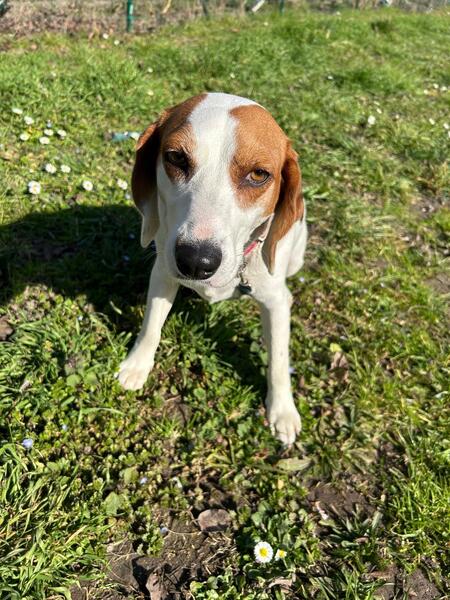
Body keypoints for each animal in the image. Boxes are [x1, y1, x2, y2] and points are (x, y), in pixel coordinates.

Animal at [117, 93, 307, 444]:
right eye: (176, 157)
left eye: (258, 174)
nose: (195, 260)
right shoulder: (163, 273)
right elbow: (151, 326)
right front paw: (138, 365)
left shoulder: (275, 301)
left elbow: (278, 360)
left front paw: (282, 410)